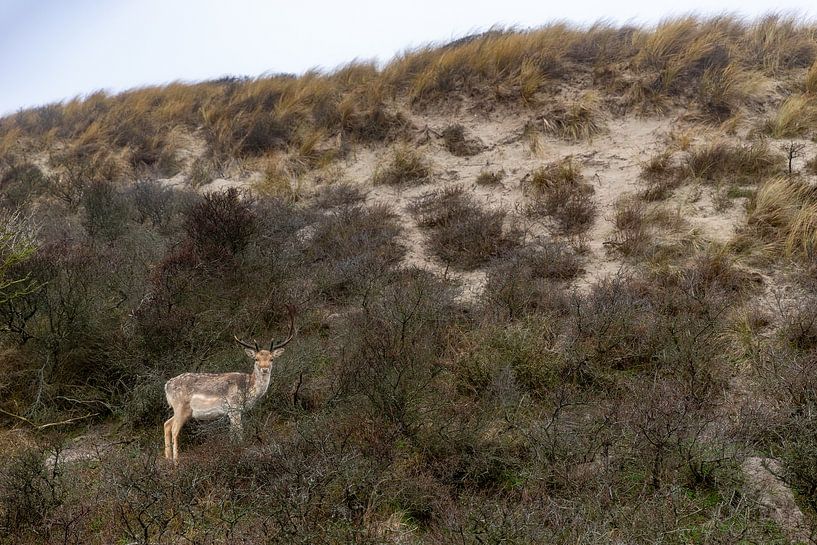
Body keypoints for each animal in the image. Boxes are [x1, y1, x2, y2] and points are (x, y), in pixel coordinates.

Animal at [163, 304, 296, 462]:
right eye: (256, 359)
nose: (264, 369)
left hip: (182, 410)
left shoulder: (233, 412)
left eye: (271, 359)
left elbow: (232, 433)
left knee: (167, 424)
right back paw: (176, 460)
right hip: (181, 406)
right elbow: (239, 432)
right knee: (175, 429)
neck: (248, 389)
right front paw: (239, 450)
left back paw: (167, 458)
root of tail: (166, 386)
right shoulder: (234, 407)